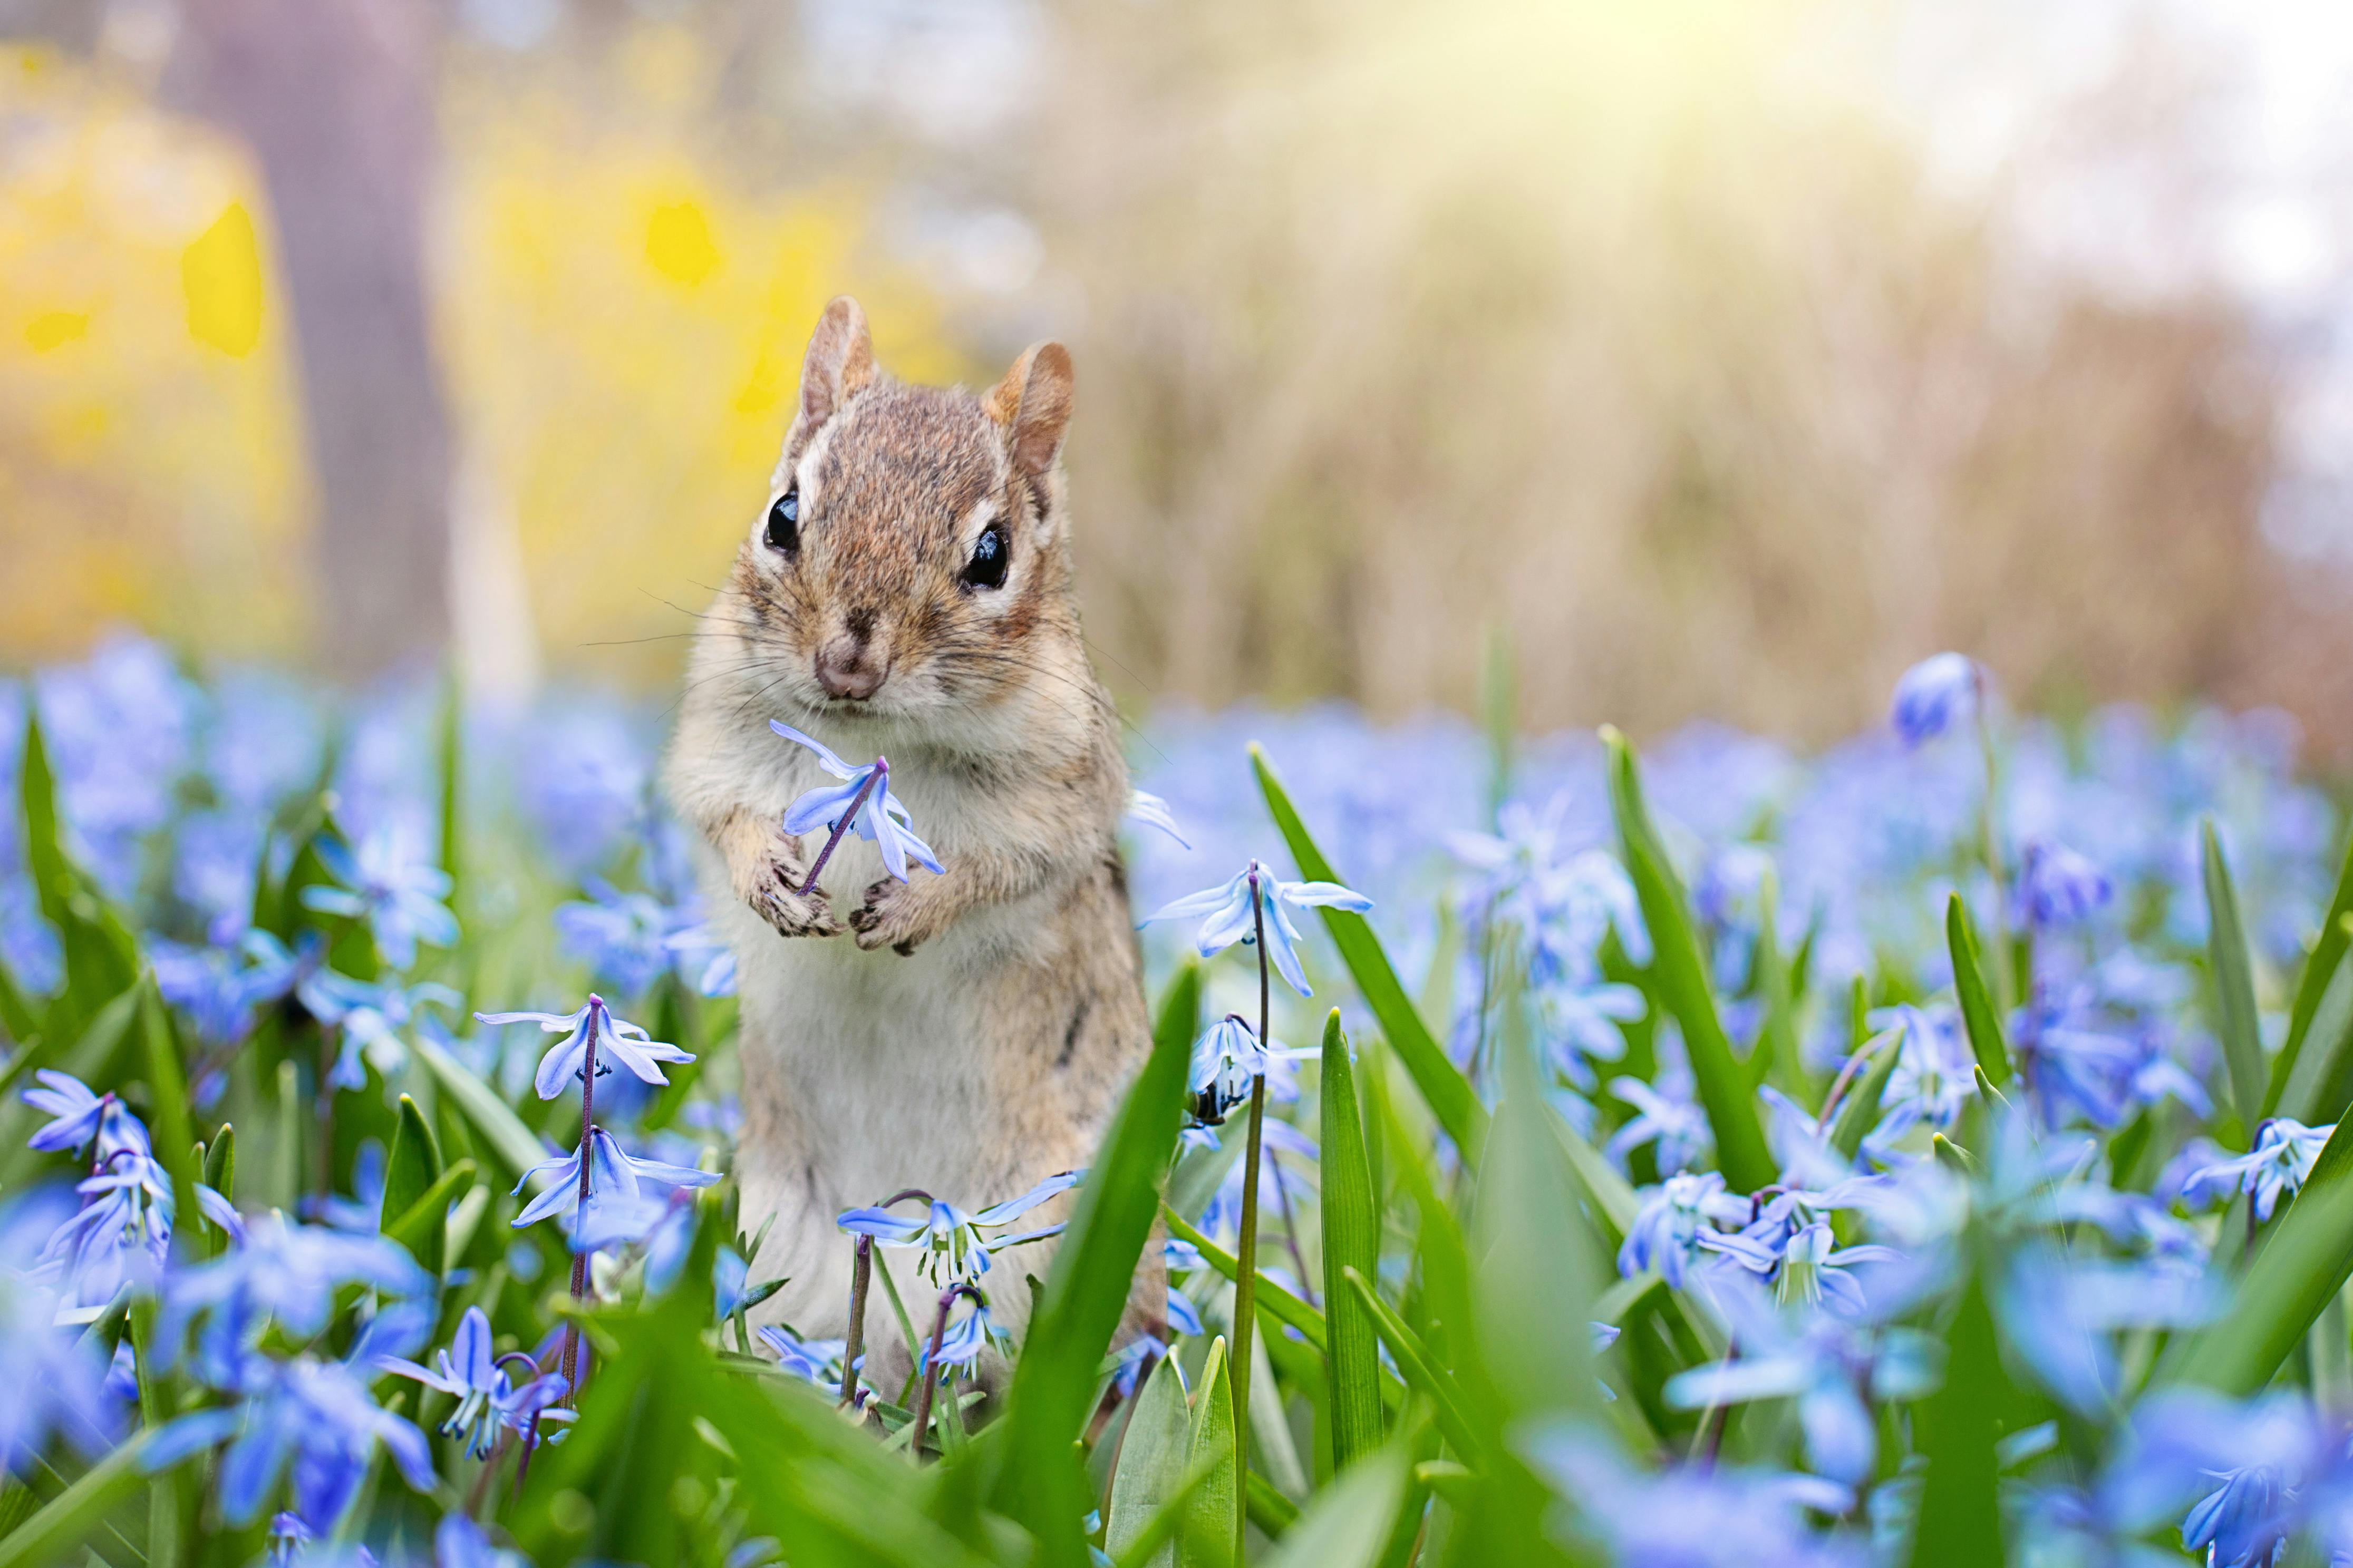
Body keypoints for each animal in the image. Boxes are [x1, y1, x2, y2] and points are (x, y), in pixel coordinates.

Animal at [663, 297, 1158, 1385]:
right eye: (783, 516)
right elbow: (724, 819)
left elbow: (1001, 870)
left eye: (992, 555)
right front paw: (770, 879)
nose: (848, 662)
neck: (866, 741)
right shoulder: (714, 745)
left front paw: (913, 907)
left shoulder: (1058, 798)